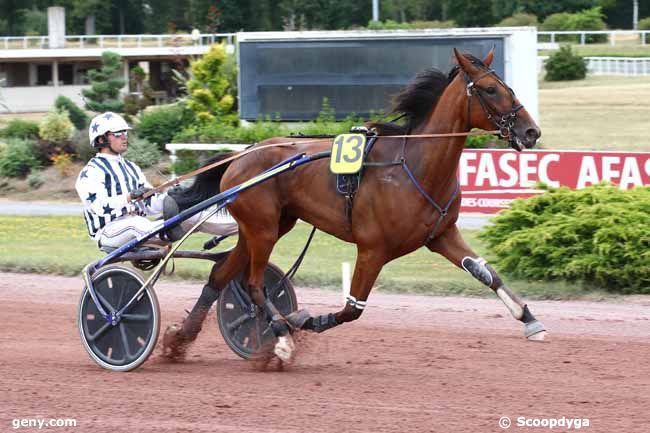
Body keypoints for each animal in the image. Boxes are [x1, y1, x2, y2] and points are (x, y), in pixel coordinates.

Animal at [161, 48, 540, 362]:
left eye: (506, 86)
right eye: (490, 89)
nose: (531, 131)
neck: (413, 165)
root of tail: (243, 154)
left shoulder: (441, 235)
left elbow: (485, 272)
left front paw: (529, 319)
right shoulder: (373, 249)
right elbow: (352, 309)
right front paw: (303, 320)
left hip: (265, 227)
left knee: (221, 275)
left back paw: (180, 339)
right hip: (263, 229)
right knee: (253, 284)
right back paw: (280, 336)